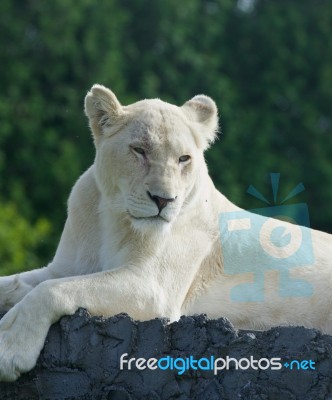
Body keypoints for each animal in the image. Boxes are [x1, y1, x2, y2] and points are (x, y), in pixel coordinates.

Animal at [0, 85, 332, 382]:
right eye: (139, 150)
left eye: (184, 158)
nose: (163, 200)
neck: (113, 218)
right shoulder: (65, 266)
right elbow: (25, 283)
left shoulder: (152, 287)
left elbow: (53, 290)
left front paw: (11, 349)